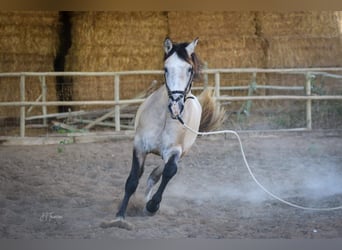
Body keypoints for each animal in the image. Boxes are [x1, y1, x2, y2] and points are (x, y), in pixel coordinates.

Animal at [100, 37, 226, 230]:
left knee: (156, 174)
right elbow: (132, 180)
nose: (175, 105)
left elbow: (169, 172)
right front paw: (120, 216)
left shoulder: (175, 152)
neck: (165, 119)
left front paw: (152, 206)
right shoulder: (139, 147)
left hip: (180, 153)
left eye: (189, 69)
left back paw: (146, 201)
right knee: (145, 174)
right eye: (166, 68)